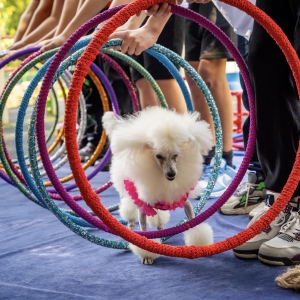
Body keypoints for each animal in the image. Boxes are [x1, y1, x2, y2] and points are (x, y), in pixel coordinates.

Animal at [102, 106, 213, 264]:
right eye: (159, 156)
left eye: (176, 155)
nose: (172, 174)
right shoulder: (142, 206)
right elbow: (144, 231)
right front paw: (147, 255)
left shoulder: (184, 202)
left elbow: (193, 221)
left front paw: (199, 243)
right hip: (129, 195)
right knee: (129, 212)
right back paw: (131, 227)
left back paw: (160, 229)